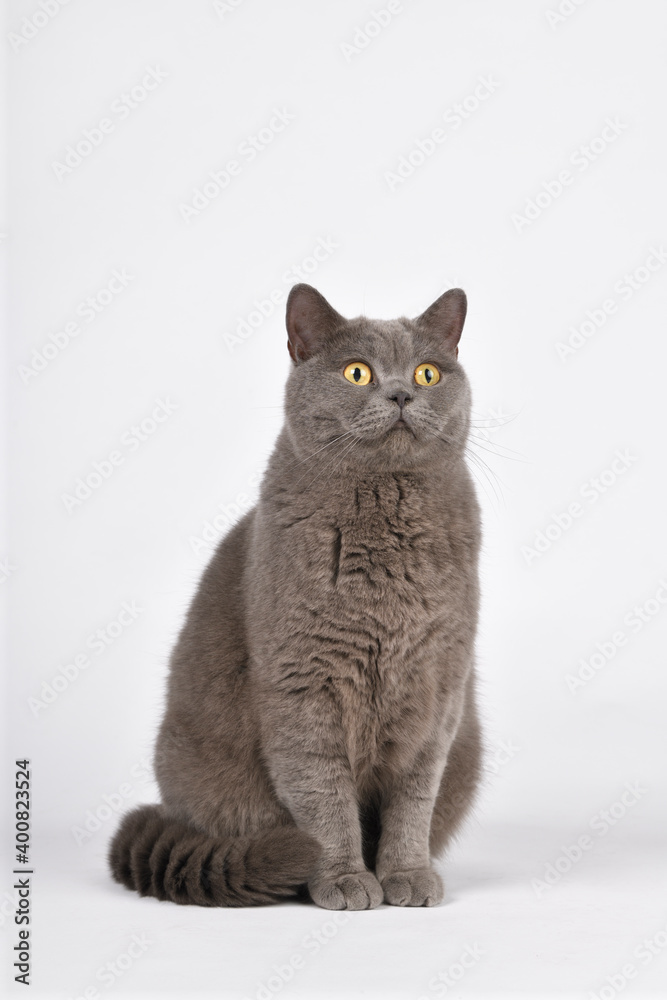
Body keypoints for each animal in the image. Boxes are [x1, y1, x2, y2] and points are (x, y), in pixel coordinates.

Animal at [111, 280, 486, 908]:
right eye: (357, 373)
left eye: (428, 372)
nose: (402, 393)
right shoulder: (302, 682)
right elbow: (322, 793)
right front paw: (343, 878)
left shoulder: (438, 687)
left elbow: (413, 796)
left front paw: (406, 875)